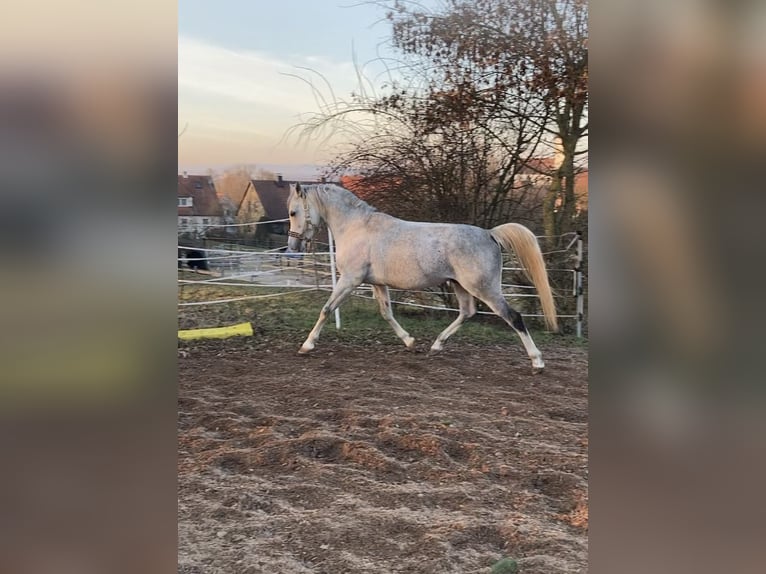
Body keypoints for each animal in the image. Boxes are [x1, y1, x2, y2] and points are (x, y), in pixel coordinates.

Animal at [286, 183, 558, 371]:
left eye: (293, 212)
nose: (293, 246)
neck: (356, 228)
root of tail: (489, 234)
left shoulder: (350, 280)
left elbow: (326, 309)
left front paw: (306, 345)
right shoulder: (377, 283)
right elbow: (387, 313)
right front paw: (410, 342)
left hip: (484, 288)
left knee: (513, 317)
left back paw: (537, 362)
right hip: (460, 286)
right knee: (467, 312)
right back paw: (436, 345)